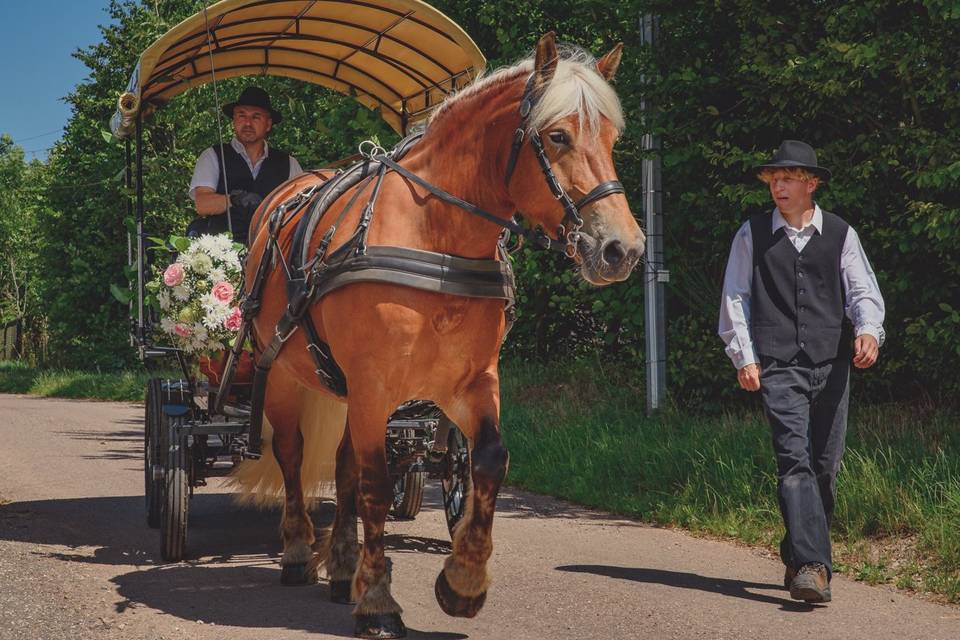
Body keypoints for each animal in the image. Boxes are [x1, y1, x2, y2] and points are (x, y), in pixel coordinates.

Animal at [242, 32, 644, 636]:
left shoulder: (471, 382)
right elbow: (376, 486)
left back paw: (342, 566)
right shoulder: (374, 385)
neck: (436, 236)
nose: (624, 248)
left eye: (612, 138)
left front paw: (463, 581)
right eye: (558, 136)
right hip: (287, 375)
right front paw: (378, 600)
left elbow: (488, 460)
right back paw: (296, 551)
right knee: (293, 455)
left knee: (341, 465)